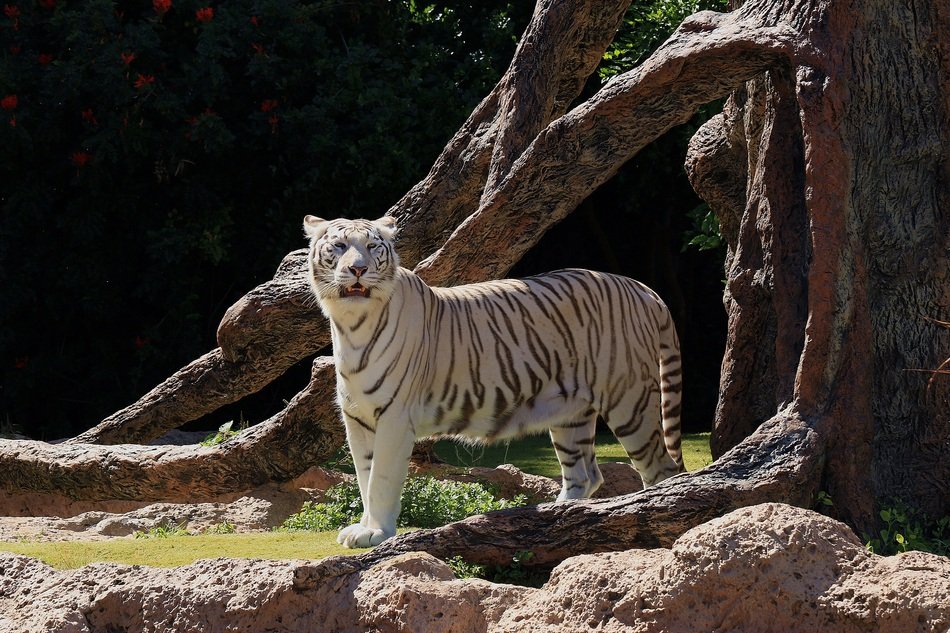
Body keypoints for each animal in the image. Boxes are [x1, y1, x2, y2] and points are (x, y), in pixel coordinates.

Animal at [303, 215, 685, 548]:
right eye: (339, 246)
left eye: (371, 247)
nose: (358, 269)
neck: (352, 325)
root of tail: (642, 288)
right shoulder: (358, 418)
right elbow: (364, 476)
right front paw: (364, 528)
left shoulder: (395, 417)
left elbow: (380, 478)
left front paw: (377, 533)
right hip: (570, 413)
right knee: (585, 473)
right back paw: (557, 517)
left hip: (630, 402)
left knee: (661, 472)